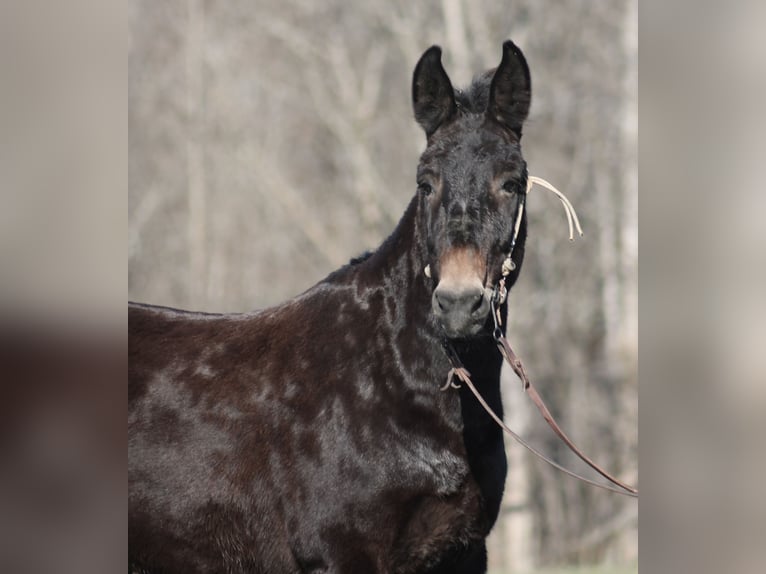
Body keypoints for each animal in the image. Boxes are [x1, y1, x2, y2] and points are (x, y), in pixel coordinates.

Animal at [129, 40, 531, 574]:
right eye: (425, 184)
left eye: (512, 183)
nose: (459, 304)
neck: (388, 377)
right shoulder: (342, 554)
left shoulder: (463, 553)